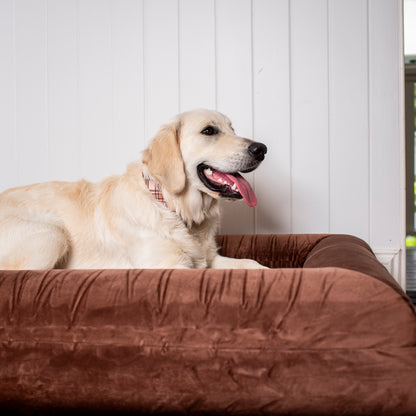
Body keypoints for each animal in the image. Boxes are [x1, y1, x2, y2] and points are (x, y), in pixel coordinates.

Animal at [0, 107, 266, 270]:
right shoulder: (169, 265)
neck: (172, 206)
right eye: (209, 131)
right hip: (51, 234)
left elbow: (252, 263)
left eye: (232, 129)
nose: (261, 149)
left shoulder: (210, 258)